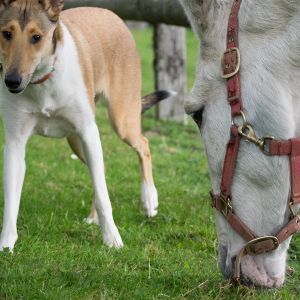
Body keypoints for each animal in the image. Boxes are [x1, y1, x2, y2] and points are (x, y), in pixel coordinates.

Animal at [0, 0, 171, 251]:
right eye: (6, 33)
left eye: (36, 37)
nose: (12, 81)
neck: (43, 81)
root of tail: (112, 14)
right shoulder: (15, 142)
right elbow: (11, 199)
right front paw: (6, 244)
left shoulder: (89, 132)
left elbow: (103, 196)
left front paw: (112, 238)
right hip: (75, 139)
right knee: (101, 170)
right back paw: (94, 217)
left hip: (120, 119)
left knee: (143, 145)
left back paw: (149, 199)